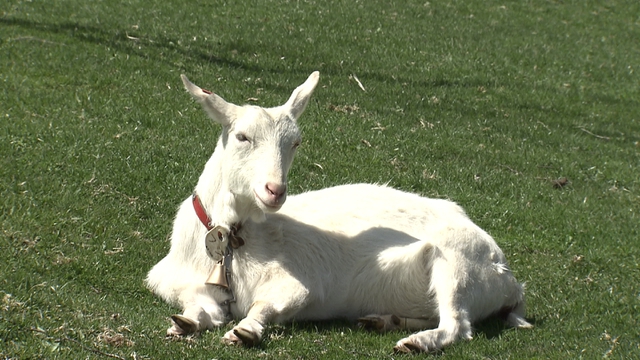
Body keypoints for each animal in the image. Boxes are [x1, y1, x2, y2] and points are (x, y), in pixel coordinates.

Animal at [148, 71, 532, 352]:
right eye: (242, 137)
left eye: (295, 142)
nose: (275, 190)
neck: (234, 238)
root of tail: (510, 281)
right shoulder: (175, 281)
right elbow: (201, 307)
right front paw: (185, 322)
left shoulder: (299, 284)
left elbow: (266, 305)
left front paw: (245, 331)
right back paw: (384, 321)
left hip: (457, 263)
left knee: (457, 324)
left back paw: (415, 342)